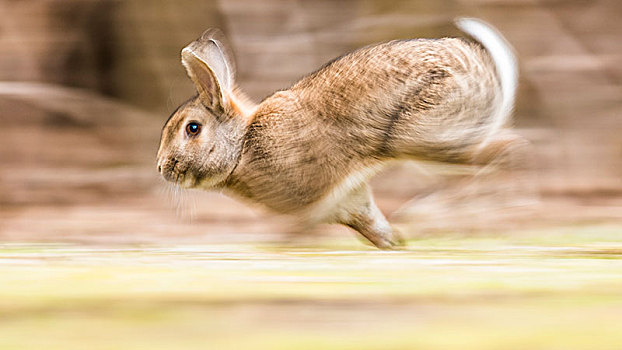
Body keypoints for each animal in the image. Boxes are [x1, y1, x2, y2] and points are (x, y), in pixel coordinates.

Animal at [157, 18, 528, 249]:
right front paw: (395, 243)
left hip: (425, 135)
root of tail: (489, 76)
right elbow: (375, 227)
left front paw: (282, 246)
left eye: (192, 128)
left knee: (504, 152)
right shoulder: (350, 201)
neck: (243, 145)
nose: (161, 168)